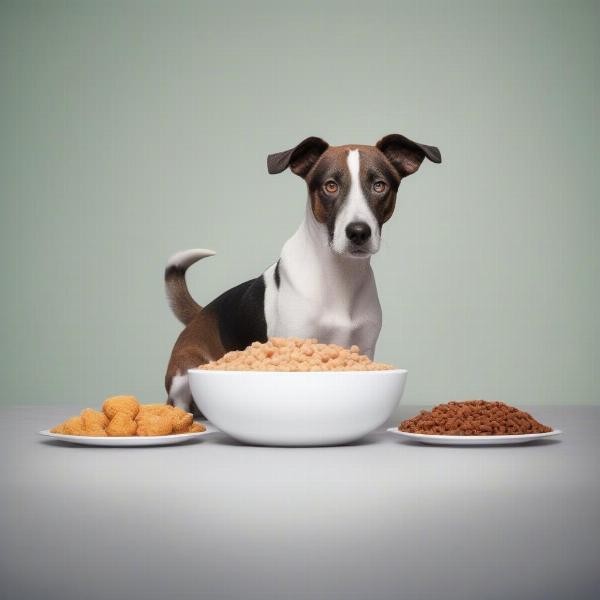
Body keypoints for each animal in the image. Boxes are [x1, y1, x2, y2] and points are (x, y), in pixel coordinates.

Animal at [164, 132, 440, 414]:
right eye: (330, 186)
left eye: (379, 185)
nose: (358, 232)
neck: (339, 276)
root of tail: (202, 313)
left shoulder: (363, 348)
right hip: (183, 373)